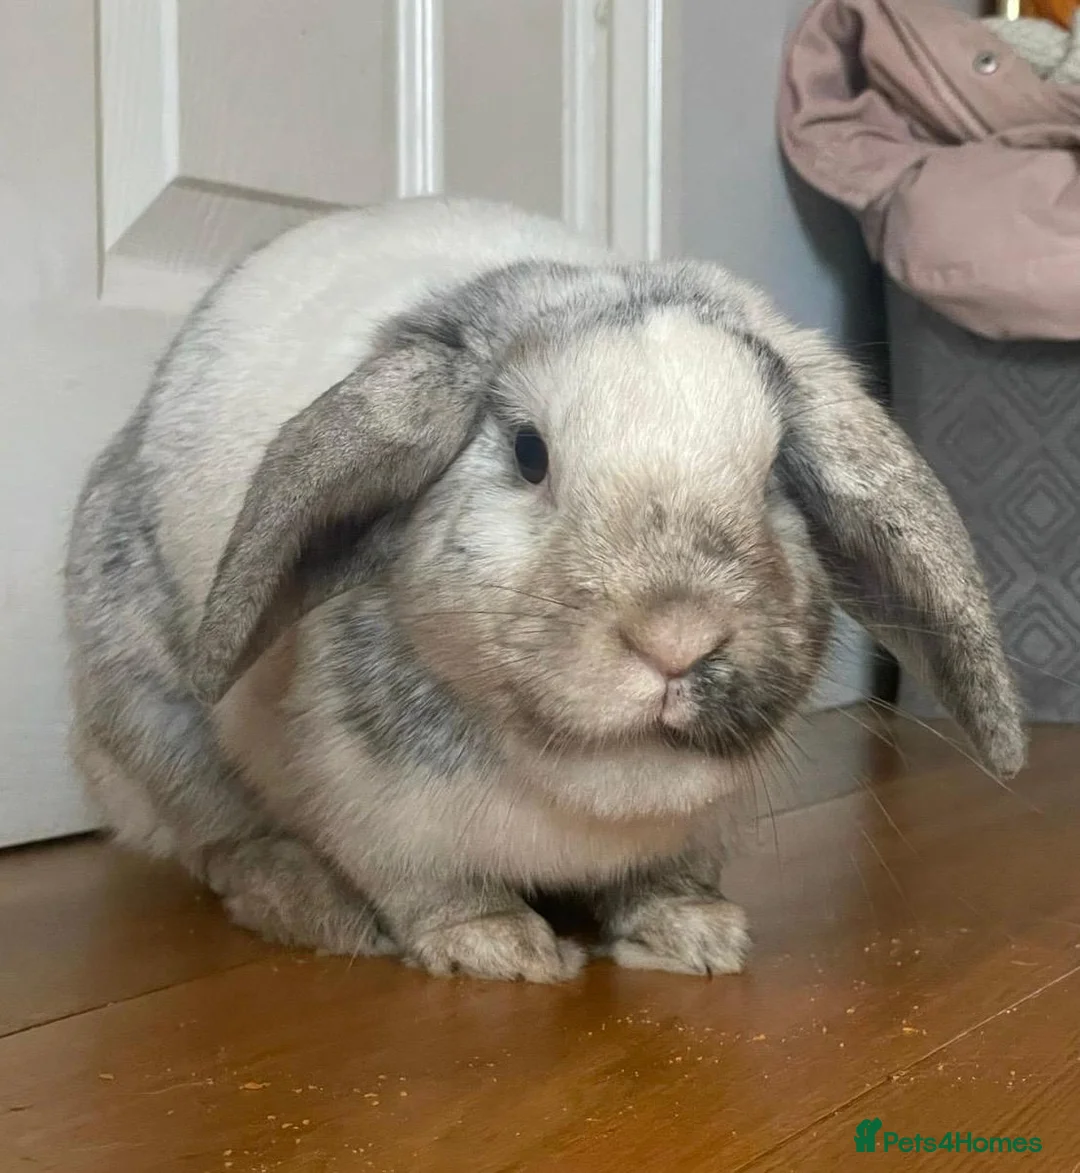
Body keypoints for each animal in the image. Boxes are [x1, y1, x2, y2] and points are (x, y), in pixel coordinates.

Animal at [63, 196, 1026, 982]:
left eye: (773, 478)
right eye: (529, 453)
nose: (677, 634)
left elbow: (666, 884)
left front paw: (698, 937)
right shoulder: (379, 820)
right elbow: (434, 892)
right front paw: (503, 950)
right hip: (159, 720)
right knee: (220, 843)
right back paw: (315, 907)